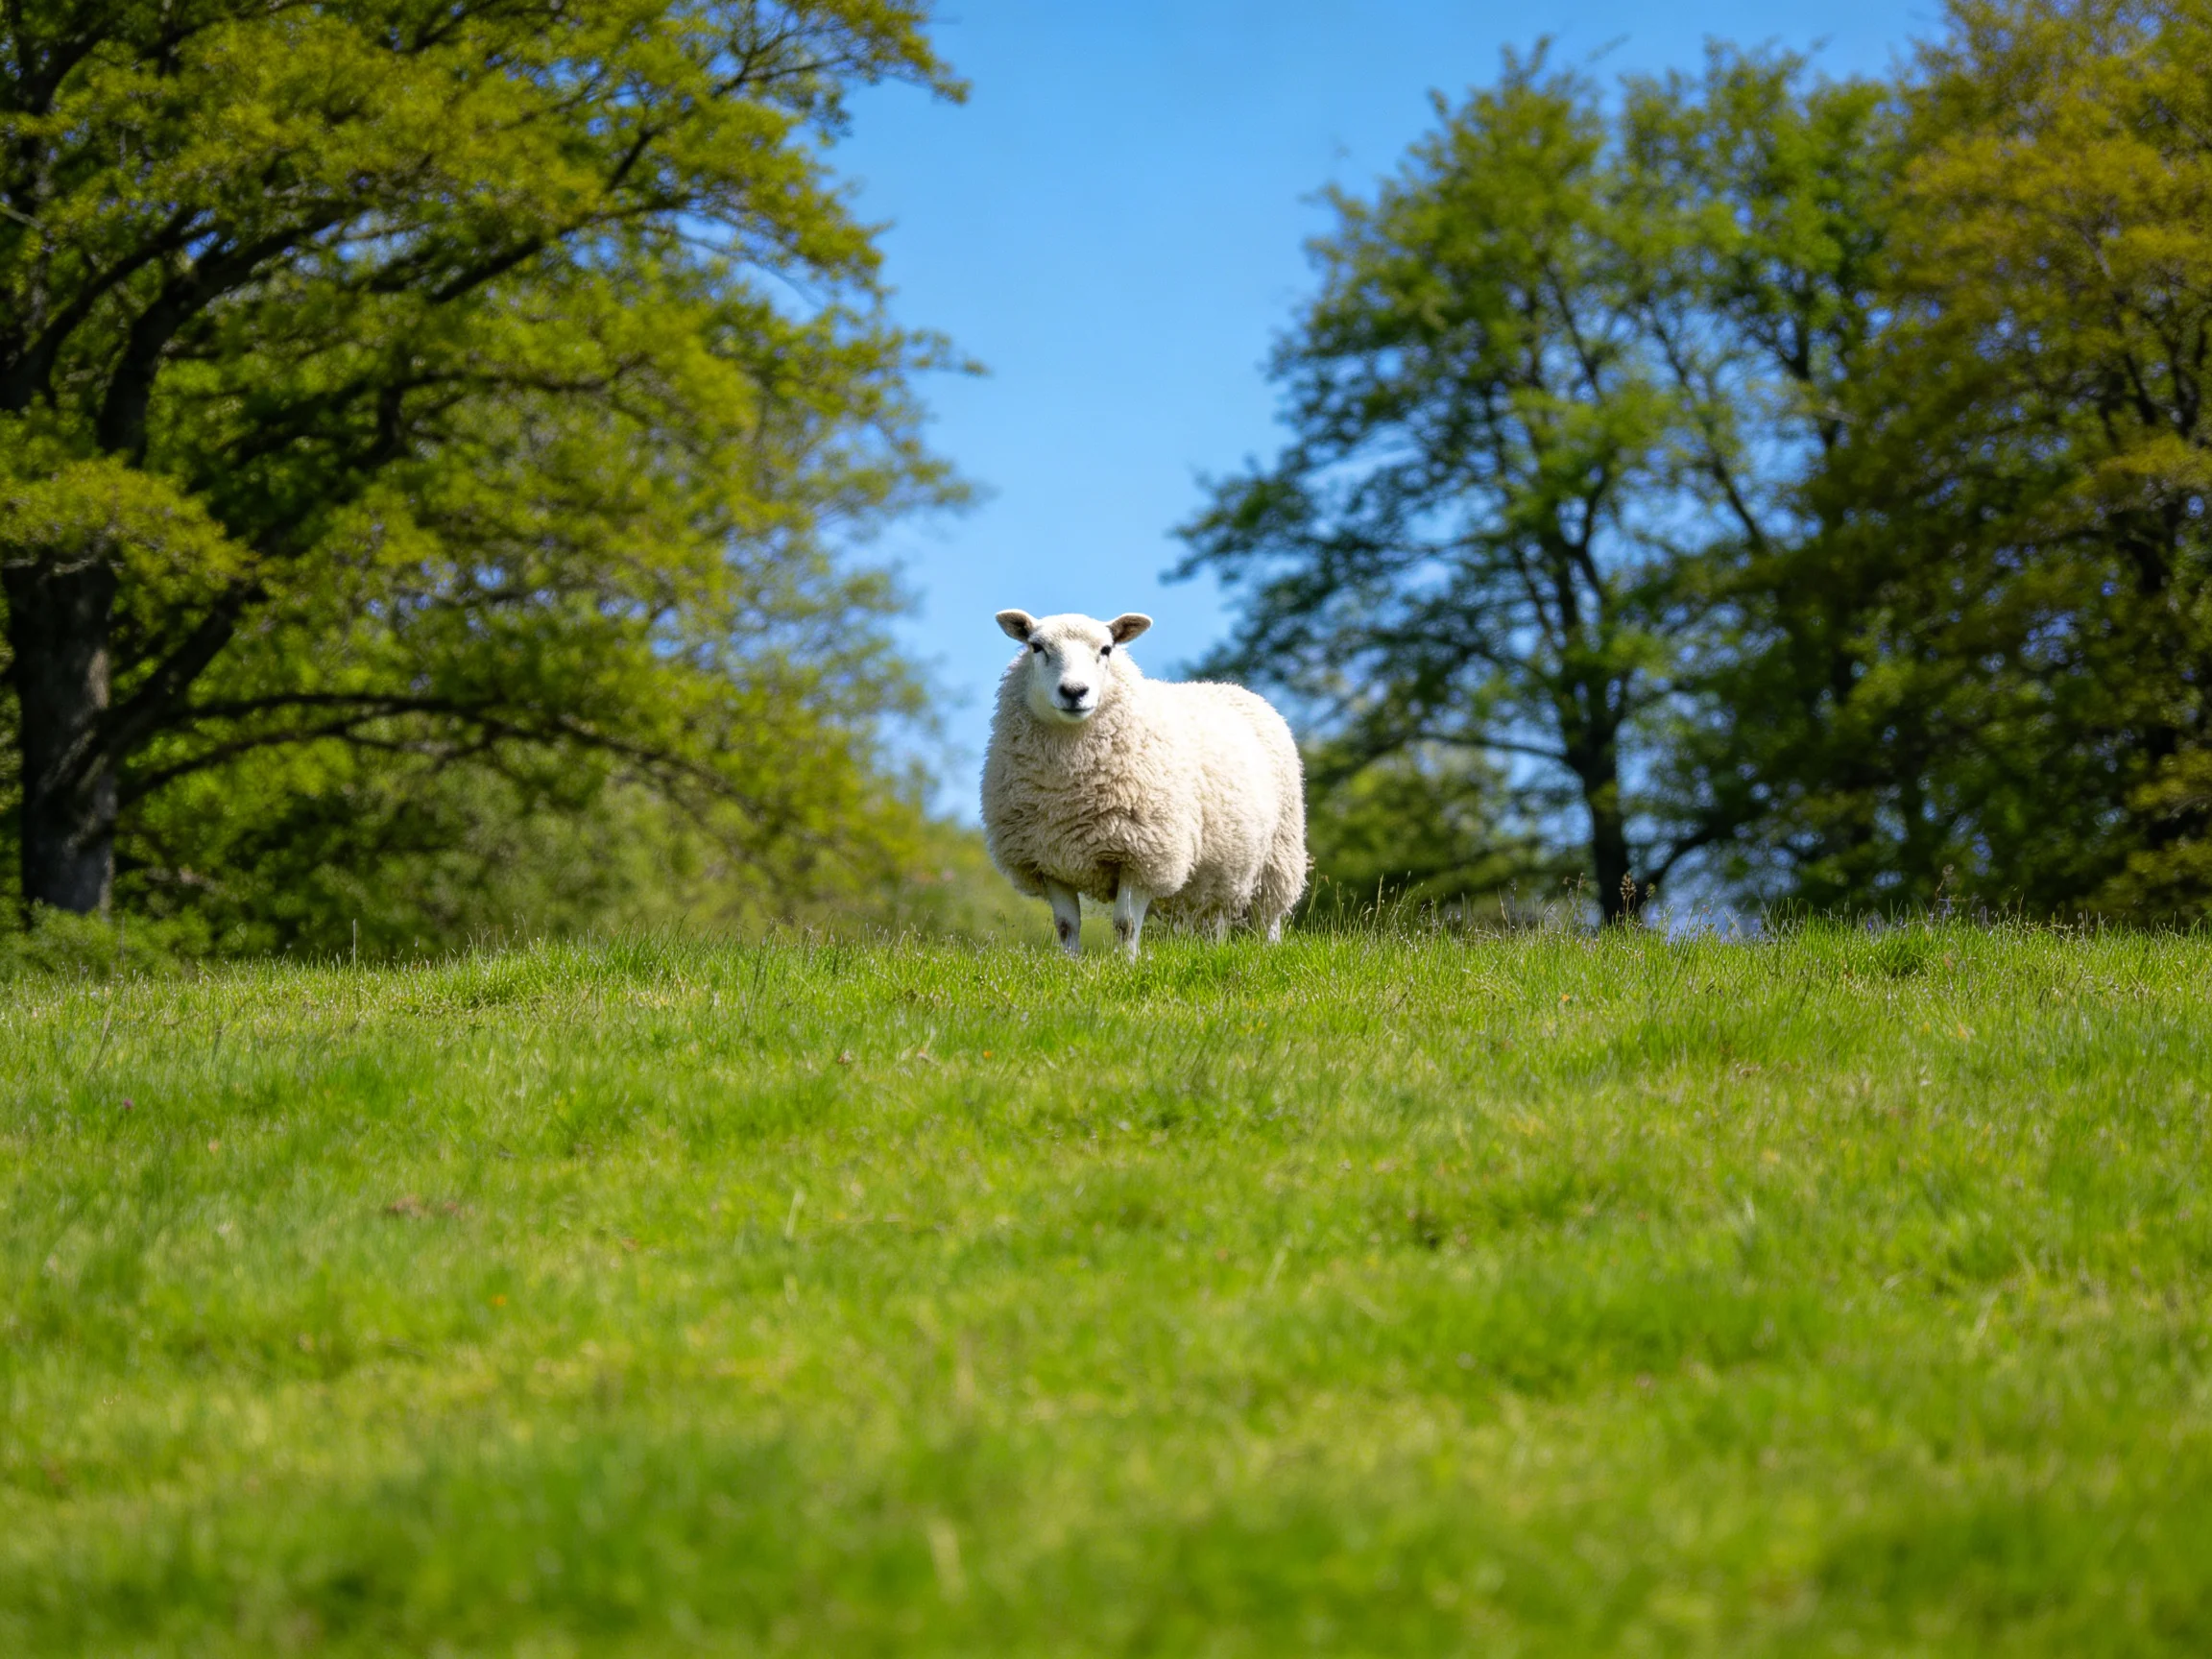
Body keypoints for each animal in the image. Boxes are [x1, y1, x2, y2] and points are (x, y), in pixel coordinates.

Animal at [980, 608, 1307, 958]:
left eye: (1106, 649)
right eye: (1036, 647)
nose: (1074, 692)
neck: (1067, 790)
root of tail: (1232, 687)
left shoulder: (1144, 854)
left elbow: (1125, 924)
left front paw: (1126, 963)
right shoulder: (1049, 858)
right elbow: (1067, 925)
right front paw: (1070, 963)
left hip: (1278, 856)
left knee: (1270, 916)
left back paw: (1271, 951)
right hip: (1218, 871)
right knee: (1214, 921)